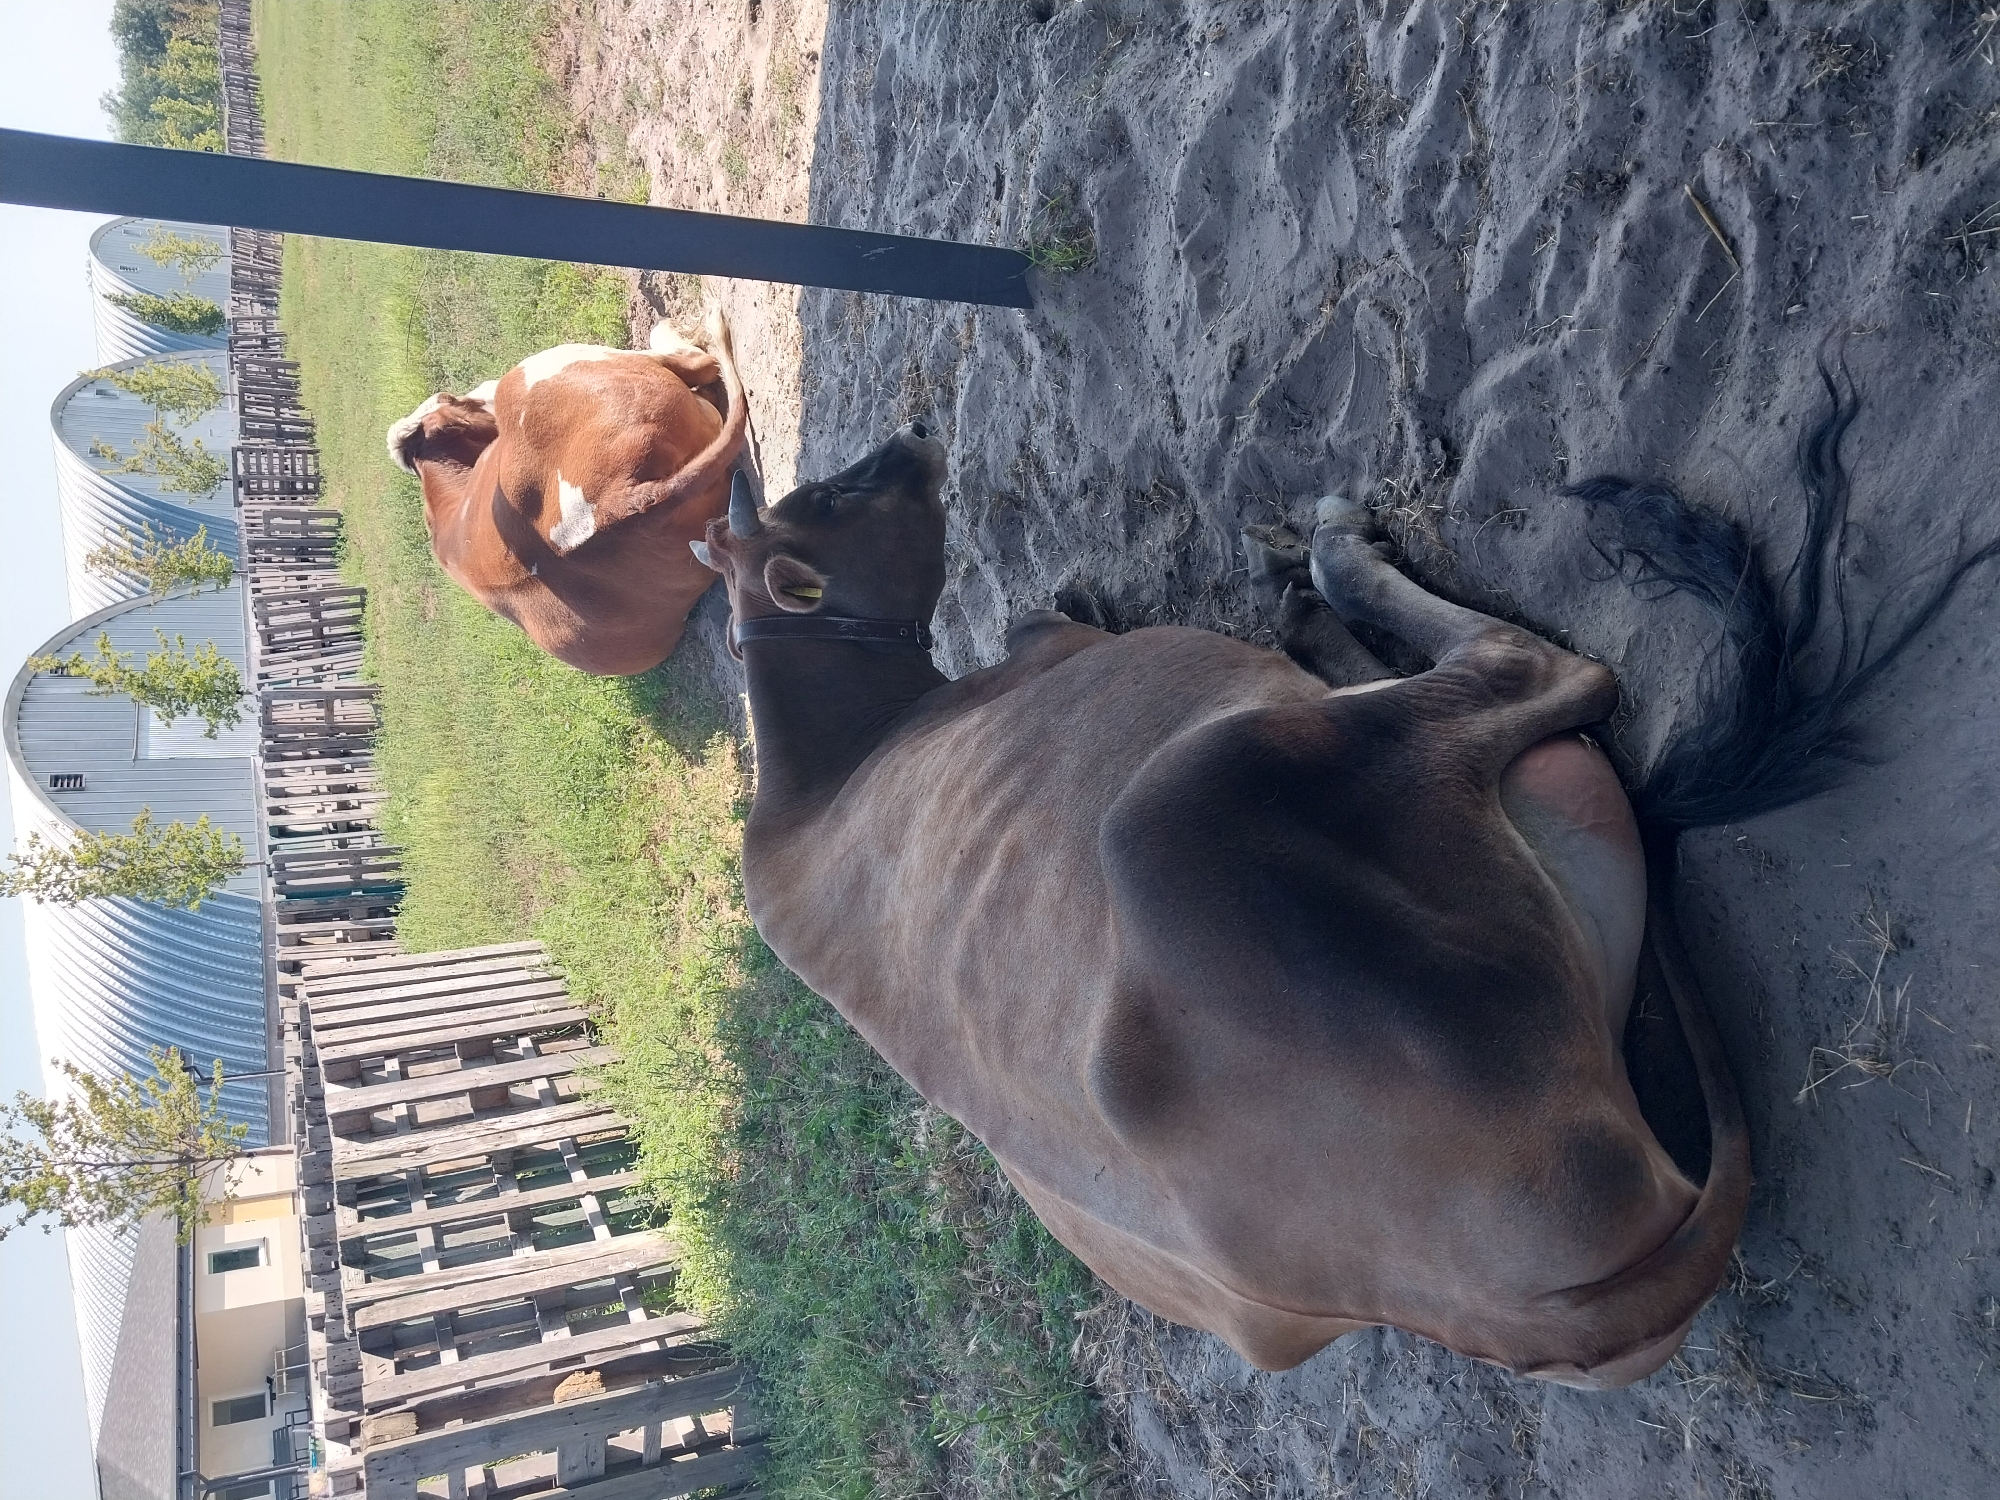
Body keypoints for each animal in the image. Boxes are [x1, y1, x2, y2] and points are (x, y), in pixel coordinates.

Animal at [692, 367, 1994, 1386]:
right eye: (832, 496)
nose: (913, 432)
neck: (826, 765)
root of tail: (1492, 1314)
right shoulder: (1050, 646)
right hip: (1192, 795)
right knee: (1549, 670)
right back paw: (1335, 554)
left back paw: (1303, 598)